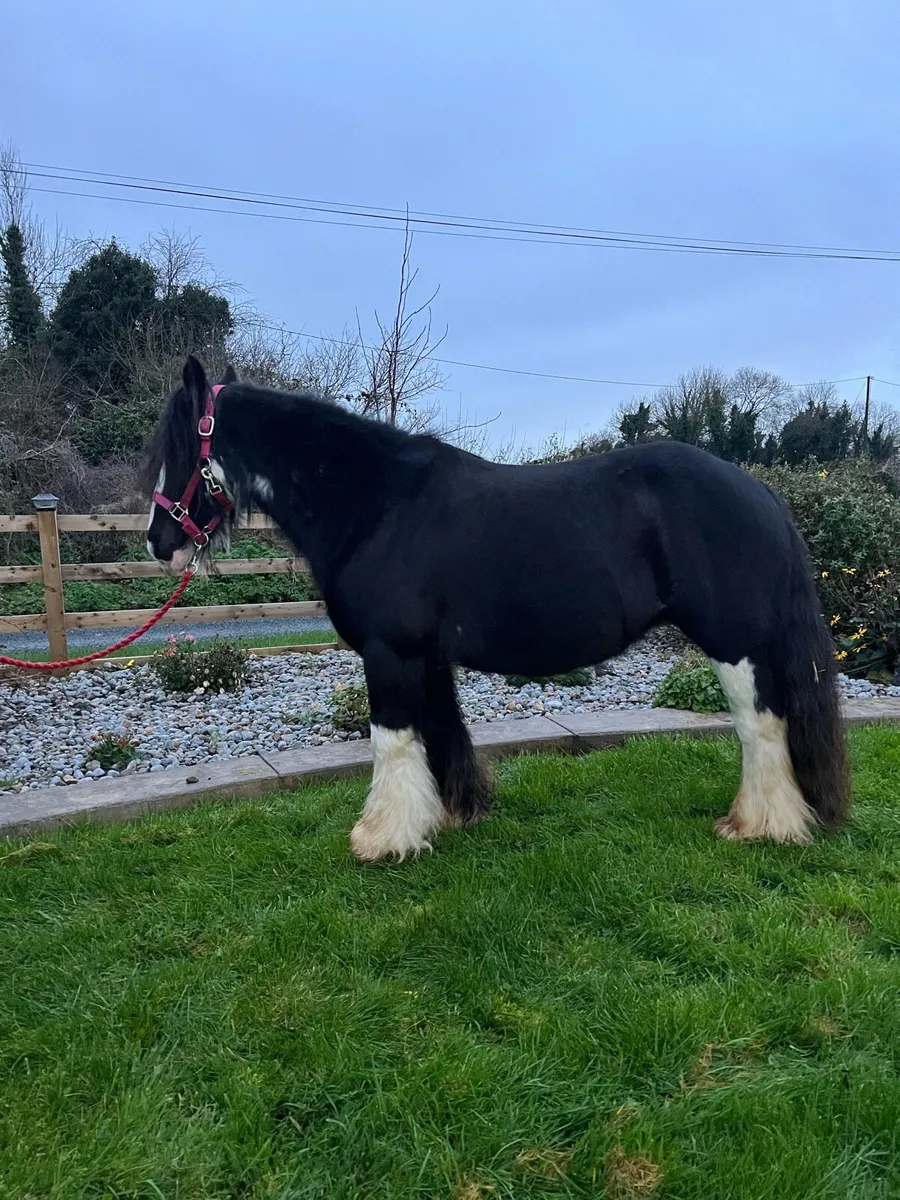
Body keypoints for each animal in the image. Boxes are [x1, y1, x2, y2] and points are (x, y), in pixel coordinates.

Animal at [143, 355, 850, 862]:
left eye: (178, 450)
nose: (158, 542)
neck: (375, 503)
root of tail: (758, 490)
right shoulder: (425, 657)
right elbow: (440, 735)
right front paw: (452, 815)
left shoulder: (390, 653)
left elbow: (391, 742)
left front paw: (381, 840)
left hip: (735, 644)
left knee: (761, 726)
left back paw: (760, 825)